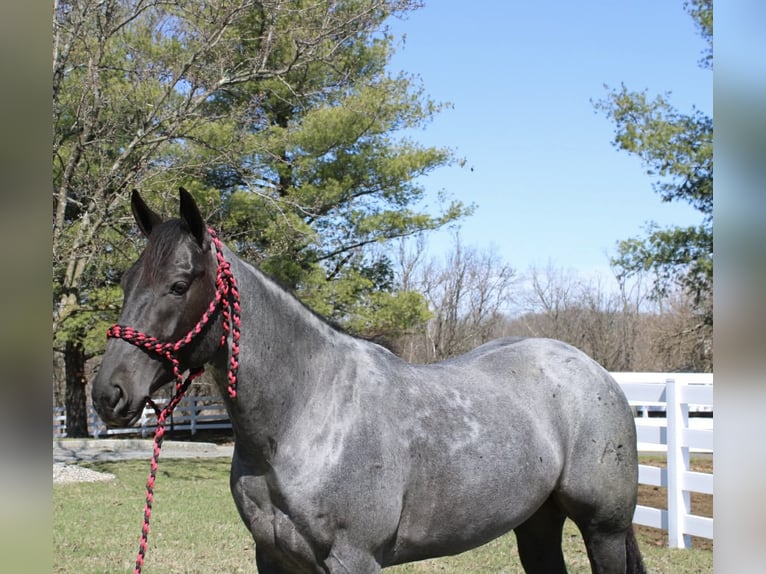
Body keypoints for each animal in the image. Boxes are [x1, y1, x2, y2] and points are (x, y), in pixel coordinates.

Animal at [92, 188, 645, 573]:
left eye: (179, 285)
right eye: (126, 281)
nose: (108, 393)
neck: (303, 418)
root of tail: (594, 370)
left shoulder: (353, 559)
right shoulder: (273, 557)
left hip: (603, 529)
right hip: (536, 523)